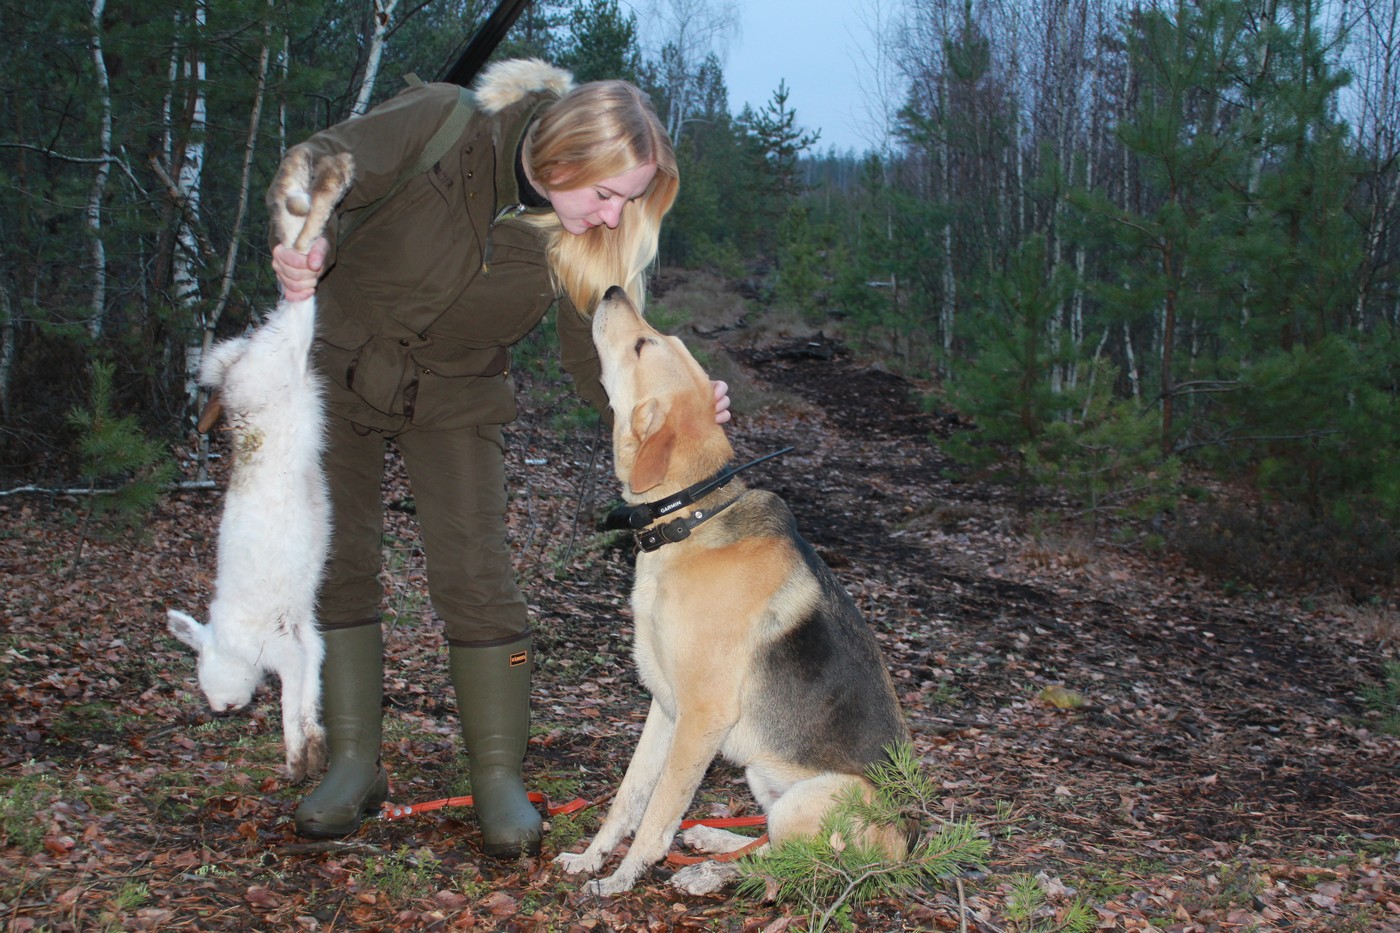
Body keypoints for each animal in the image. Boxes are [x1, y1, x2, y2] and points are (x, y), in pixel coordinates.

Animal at [165, 149, 352, 778]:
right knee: (298, 272)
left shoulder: (283, 645)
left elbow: (294, 695)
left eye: (206, 669)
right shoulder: (308, 638)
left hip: (268, 368)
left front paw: (298, 758)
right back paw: (310, 172)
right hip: (284, 360)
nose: (222, 706)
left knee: (297, 284)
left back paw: (327, 177)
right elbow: (312, 686)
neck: (231, 638)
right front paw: (310, 753)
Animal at [551, 285, 912, 896]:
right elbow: (628, 798)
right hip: (764, 778)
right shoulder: (664, 706)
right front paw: (592, 858)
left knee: (790, 865)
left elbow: (658, 813)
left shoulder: (701, 716)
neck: (689, 519)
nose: (613, 290)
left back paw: (708, 873)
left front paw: (623, 878)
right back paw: (712, 843)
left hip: (817, 797)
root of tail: (906, 850)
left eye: (644, 345)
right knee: (768, 845)